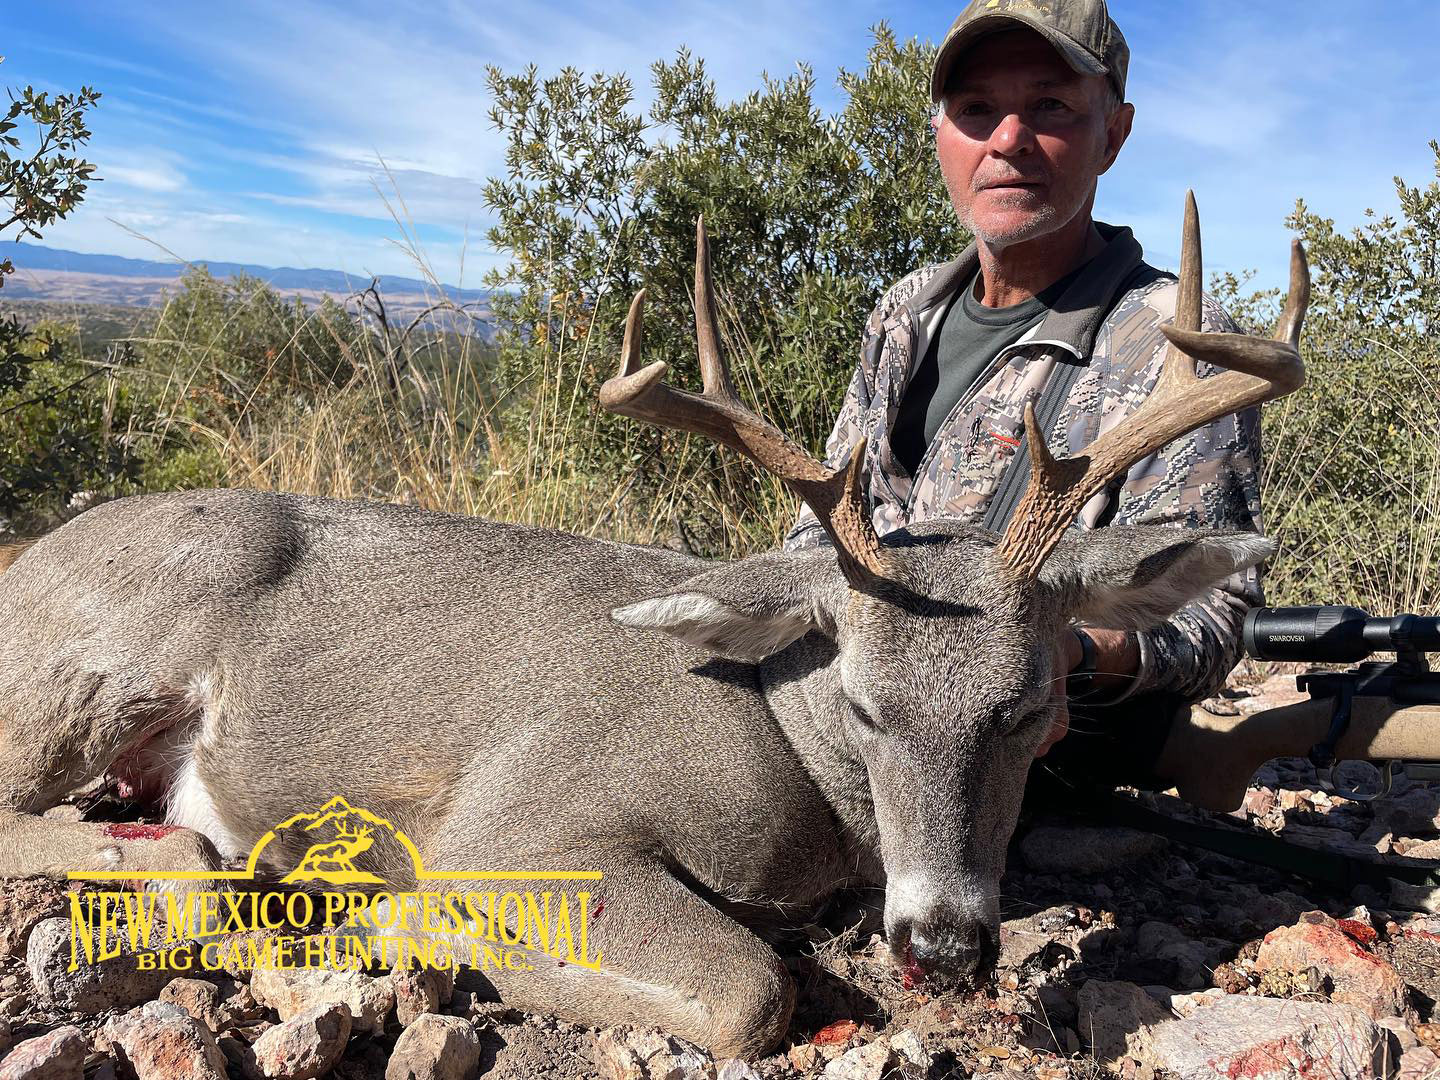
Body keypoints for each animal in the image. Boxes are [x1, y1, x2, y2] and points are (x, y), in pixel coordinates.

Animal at [0, 195, 1307, 1058]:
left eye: (1034, 708)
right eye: (864, 704)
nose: (942, 946)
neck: (781, 744)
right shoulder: (524, 823)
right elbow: (751, 992)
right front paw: (422, 916)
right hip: (97, 668)